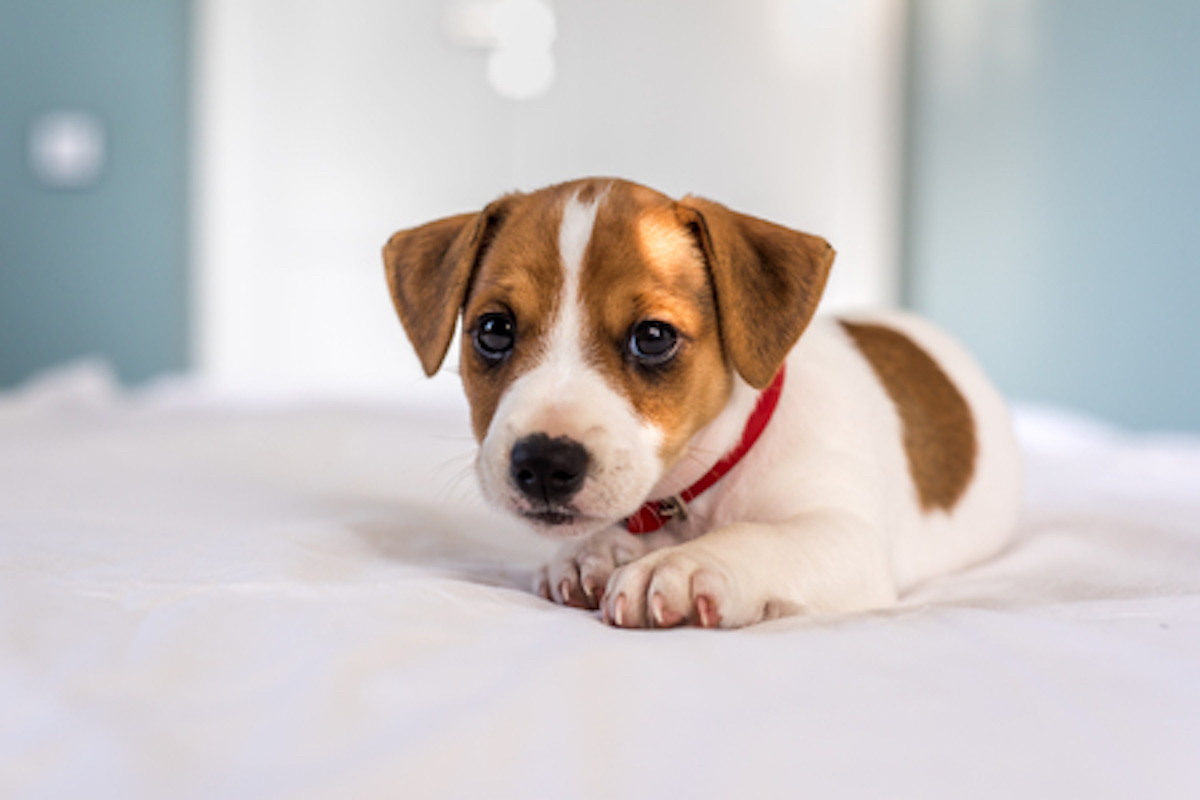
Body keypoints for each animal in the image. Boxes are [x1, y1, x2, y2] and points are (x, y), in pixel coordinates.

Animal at [384, 178, 1022, 628]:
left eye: (653, 337)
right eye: (494, 330)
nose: (542, 463)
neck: (698, 490)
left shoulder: (849, 540)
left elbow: (762, 537)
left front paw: (683, 566)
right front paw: (595, 553)